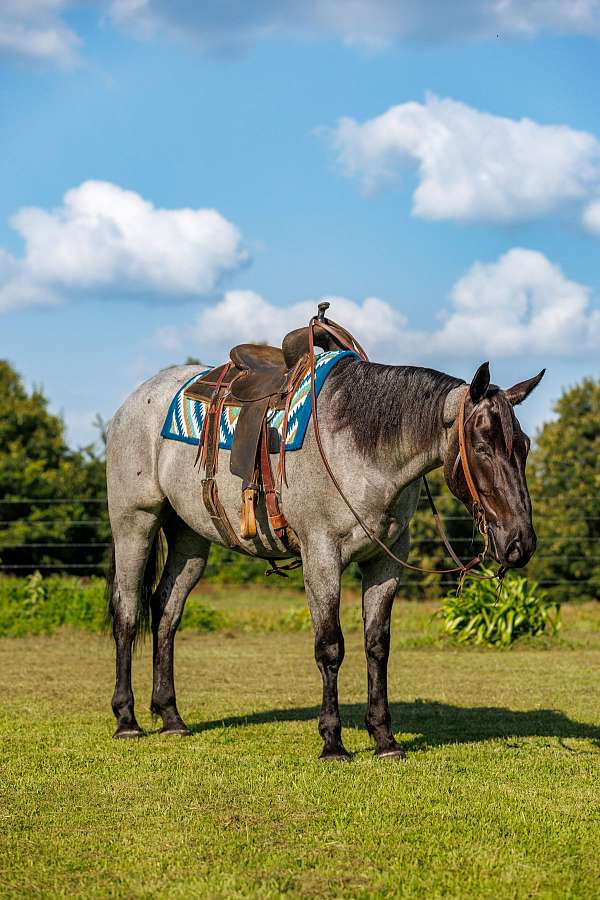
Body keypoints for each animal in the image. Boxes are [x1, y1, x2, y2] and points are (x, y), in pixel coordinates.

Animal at [106, 349, 544, 759]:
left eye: (523, 447)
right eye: (482, 446)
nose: (520, 542)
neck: (361, 450)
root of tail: (133, 402)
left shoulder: (385, 562)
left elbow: (377, 646)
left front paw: (384, 738)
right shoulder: (321, 557)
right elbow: (330, 648)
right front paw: (333, 741)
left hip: (190, 538)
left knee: (166, 612)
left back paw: (170, 717)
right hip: (135, 523)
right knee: (127, 611)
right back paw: (126, 719)